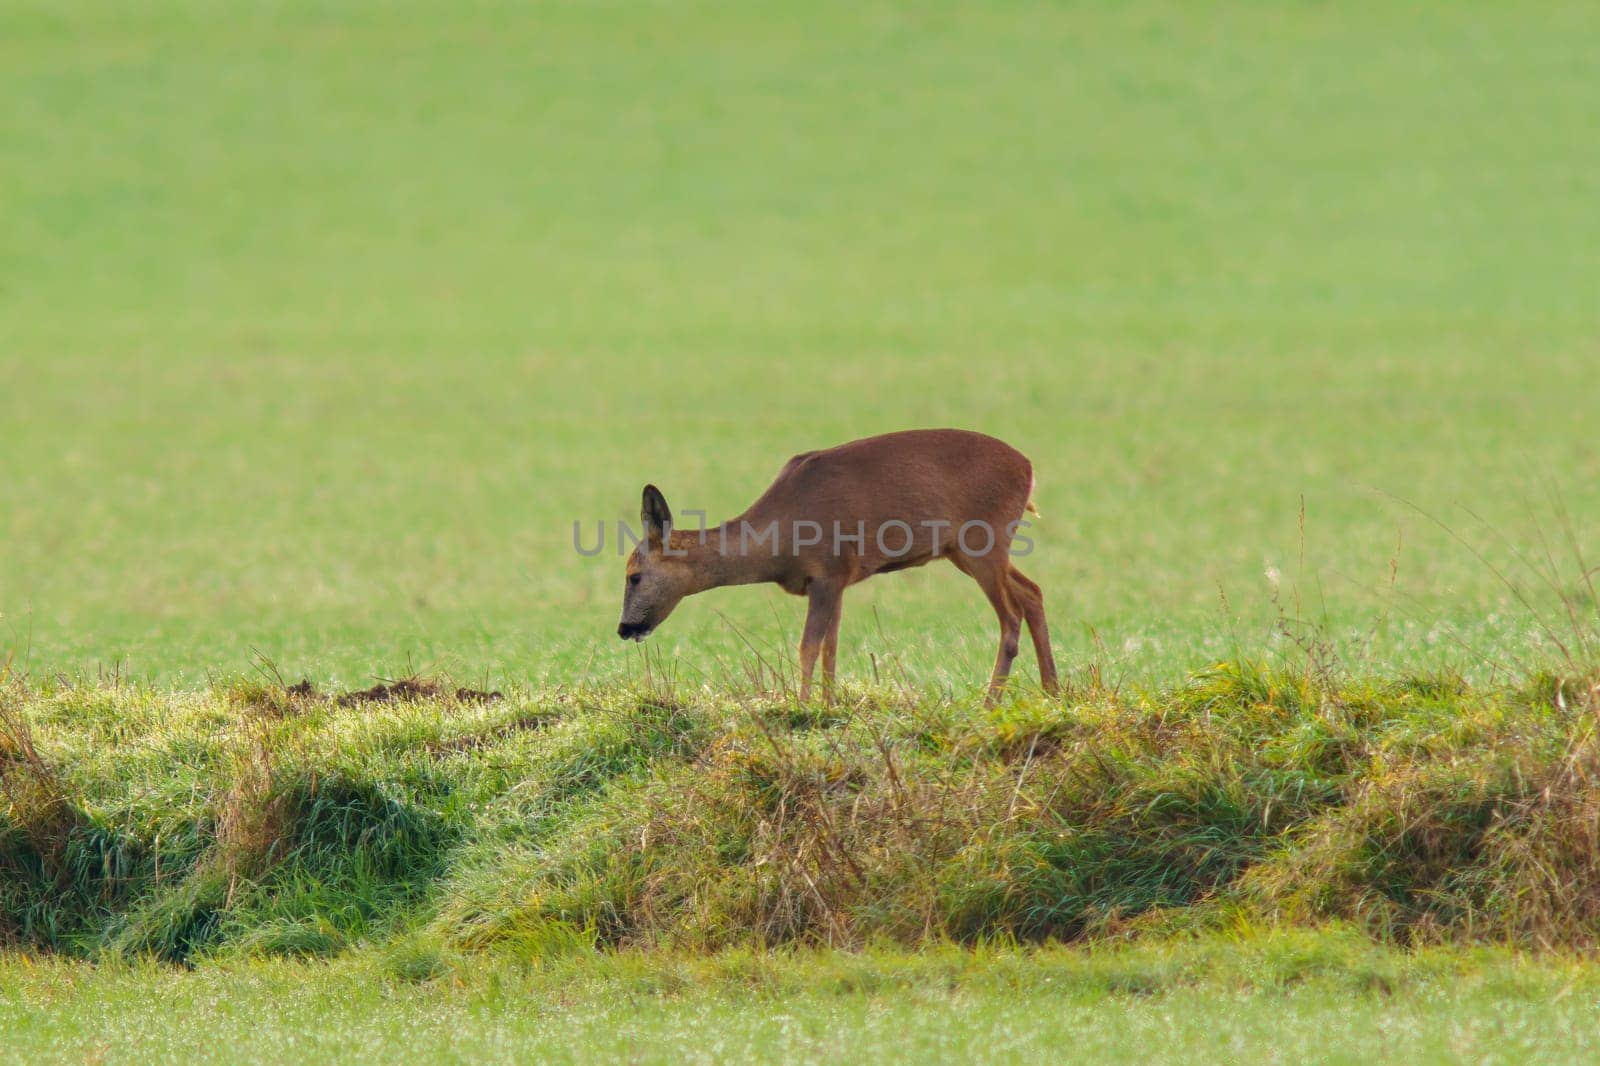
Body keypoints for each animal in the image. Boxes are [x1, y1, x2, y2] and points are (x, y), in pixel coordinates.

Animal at [617, 428, 1056, 701]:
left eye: (634, 576)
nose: (624, 629)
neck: (779, 536)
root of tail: (1029, 469)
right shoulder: (840, 578)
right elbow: (832, 645)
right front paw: (829, 705)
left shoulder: (826, 571)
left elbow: (808, 645)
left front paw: (801, 705)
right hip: (968, 550)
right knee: (1033, 592)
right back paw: (1051, 691)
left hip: (984, 540)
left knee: (1010, 615)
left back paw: (992, 701)